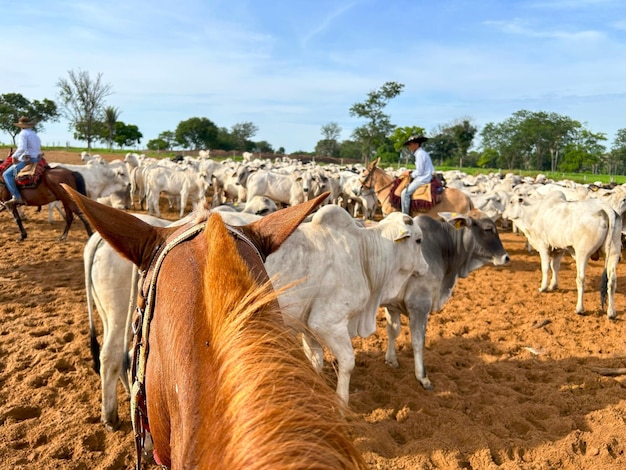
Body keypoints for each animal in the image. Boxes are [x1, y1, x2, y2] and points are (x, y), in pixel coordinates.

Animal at [264, 206, 428, 404]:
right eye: (419, 240)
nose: (426, 267)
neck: (362, 254)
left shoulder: (307, 324)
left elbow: (315, 360)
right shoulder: (327, 323)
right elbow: (348, 362)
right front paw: (342, 404)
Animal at [380, 211, 508, 392]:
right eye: (488, 229)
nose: (506, 257)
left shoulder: (392, 305)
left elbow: (393, 331)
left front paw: (391, 360)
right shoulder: (419, 305)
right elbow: (418, 341)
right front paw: (423, 378)